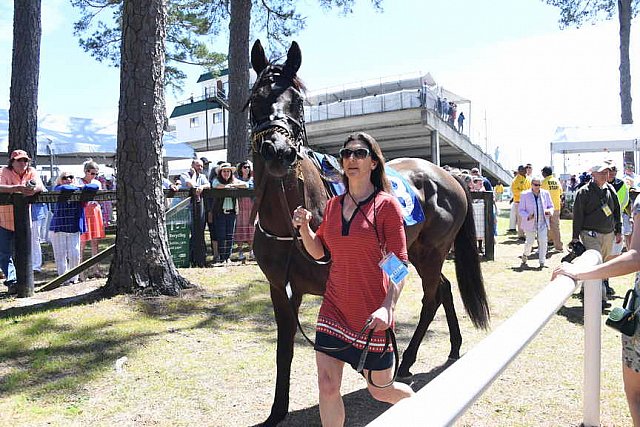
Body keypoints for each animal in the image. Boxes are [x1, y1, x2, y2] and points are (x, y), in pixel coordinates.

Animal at [250, 39, 490, 424]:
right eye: (256, 97)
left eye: (298, 101)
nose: (279, 152)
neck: (290, 226)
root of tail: (450, 174)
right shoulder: (281, 290)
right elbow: (284, 350)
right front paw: (277, 411)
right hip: (422, 253)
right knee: (444, 289)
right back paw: (452, 346)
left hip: (430, 252)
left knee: (432, 296)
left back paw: (407, 360)